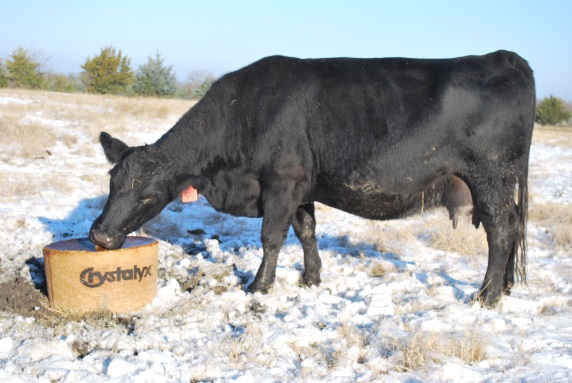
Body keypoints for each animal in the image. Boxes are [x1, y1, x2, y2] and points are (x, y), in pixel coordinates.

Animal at [89, 51, 536, 308]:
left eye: (149, 196)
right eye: (111, 183)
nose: (101, 236)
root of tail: (504, 57)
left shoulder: (281, 182)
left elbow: (271, 237)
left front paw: (259, 286)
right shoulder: (300, 186)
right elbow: (306, 230)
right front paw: (311, 278)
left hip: (491, 175)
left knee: (500, 229)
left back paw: (487, 295)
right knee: (513, 225)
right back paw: (507, 287)